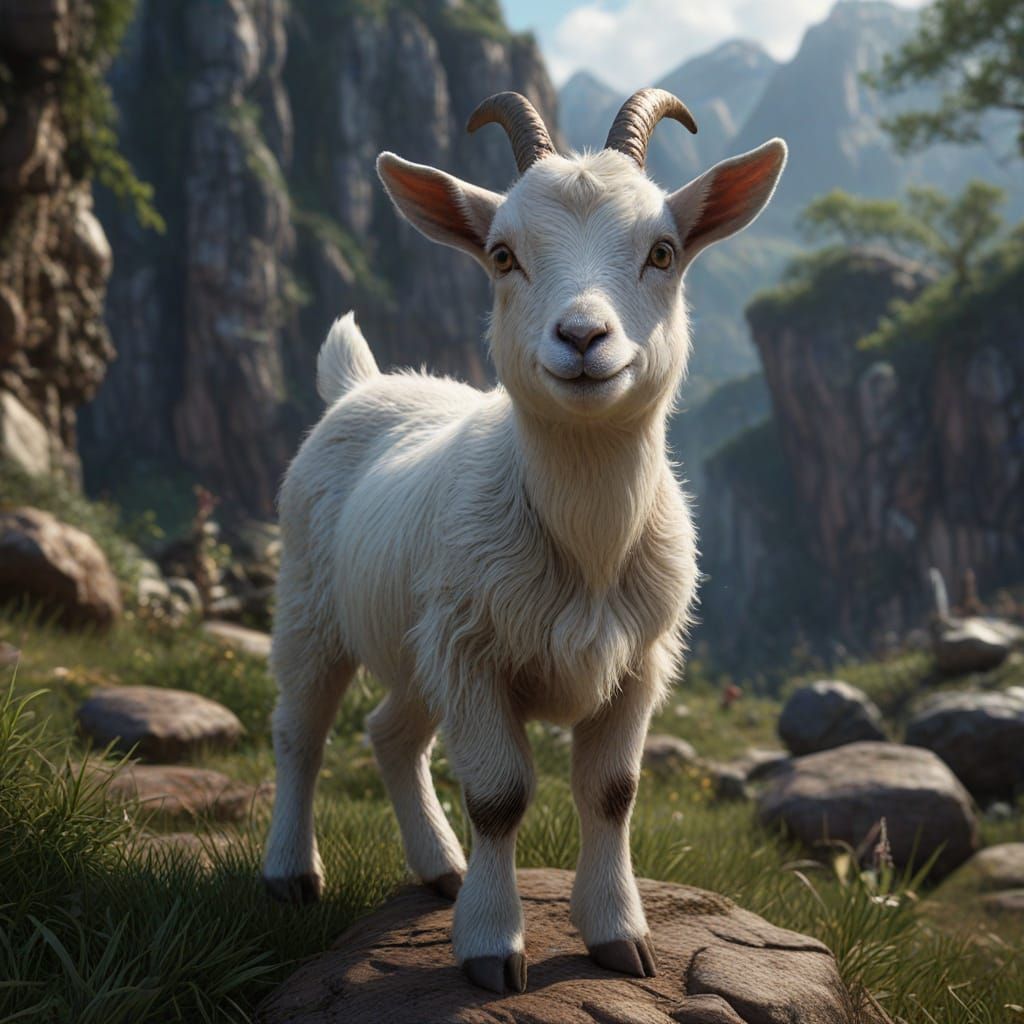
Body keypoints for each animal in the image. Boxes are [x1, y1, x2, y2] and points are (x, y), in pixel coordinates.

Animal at [262, 89, 786, 995]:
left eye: (663, 251)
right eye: (503, 256)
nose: (582, 338)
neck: (586, 541)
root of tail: (361, 384)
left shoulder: (637, 661)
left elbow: (612, 790)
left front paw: (618, 936)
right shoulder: (475, 653)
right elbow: (500, 796)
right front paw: (489, 945)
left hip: (418, 641)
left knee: (390, 733)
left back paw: (439, 866)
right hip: (311, 603)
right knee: (301, 729)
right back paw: (292, 872)